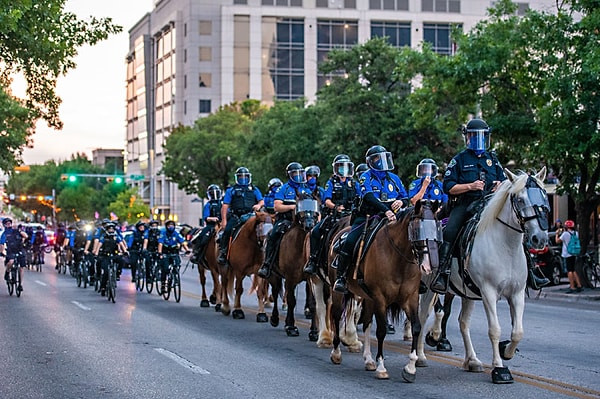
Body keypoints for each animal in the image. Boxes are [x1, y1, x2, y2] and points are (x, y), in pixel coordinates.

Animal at [328, 205, 432, 382]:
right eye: (416, 229)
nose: (426, 266)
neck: (398, 258)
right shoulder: (380, 298)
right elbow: (382, 330)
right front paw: (382, 367)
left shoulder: (410, 298)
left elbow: (417, 327)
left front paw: (410, 368)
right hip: (339, 291)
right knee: (336, 315)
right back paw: (336, 353)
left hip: (368, 297)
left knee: (367, 322)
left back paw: (369, 360)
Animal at [418, 168, 548, 384]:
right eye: (519, 199)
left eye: (544, 196)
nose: (541, 238)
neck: (506, 246)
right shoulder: (488, 292)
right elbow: (494, 330)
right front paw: (499, 369)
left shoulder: (517, 293)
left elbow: (518, 332)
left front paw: (506, 351)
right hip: (428, 288)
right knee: (422, 316)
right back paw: (420, 355)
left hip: (467, 293)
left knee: (463, 322)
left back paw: (472, 360)